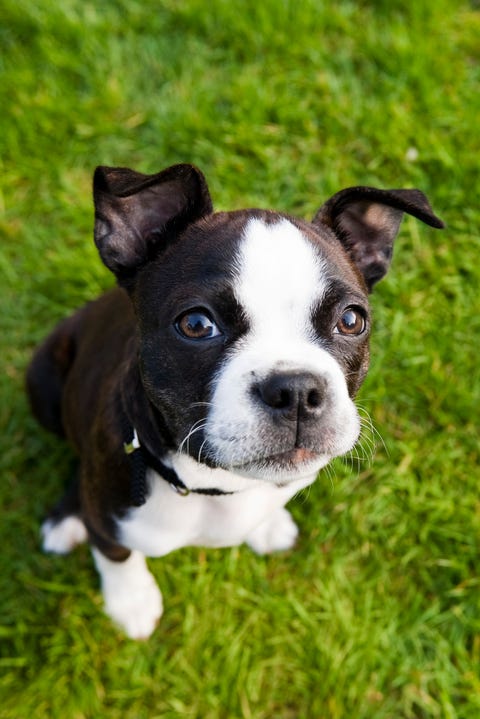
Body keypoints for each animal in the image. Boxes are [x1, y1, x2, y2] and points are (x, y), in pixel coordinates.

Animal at [27, 162, 442, 636]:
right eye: (195, 325)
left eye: (351, 320)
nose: (296, 389)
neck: (217, 487)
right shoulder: (107, 519)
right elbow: (117, 557)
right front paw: (131, 603)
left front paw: (268, 524)